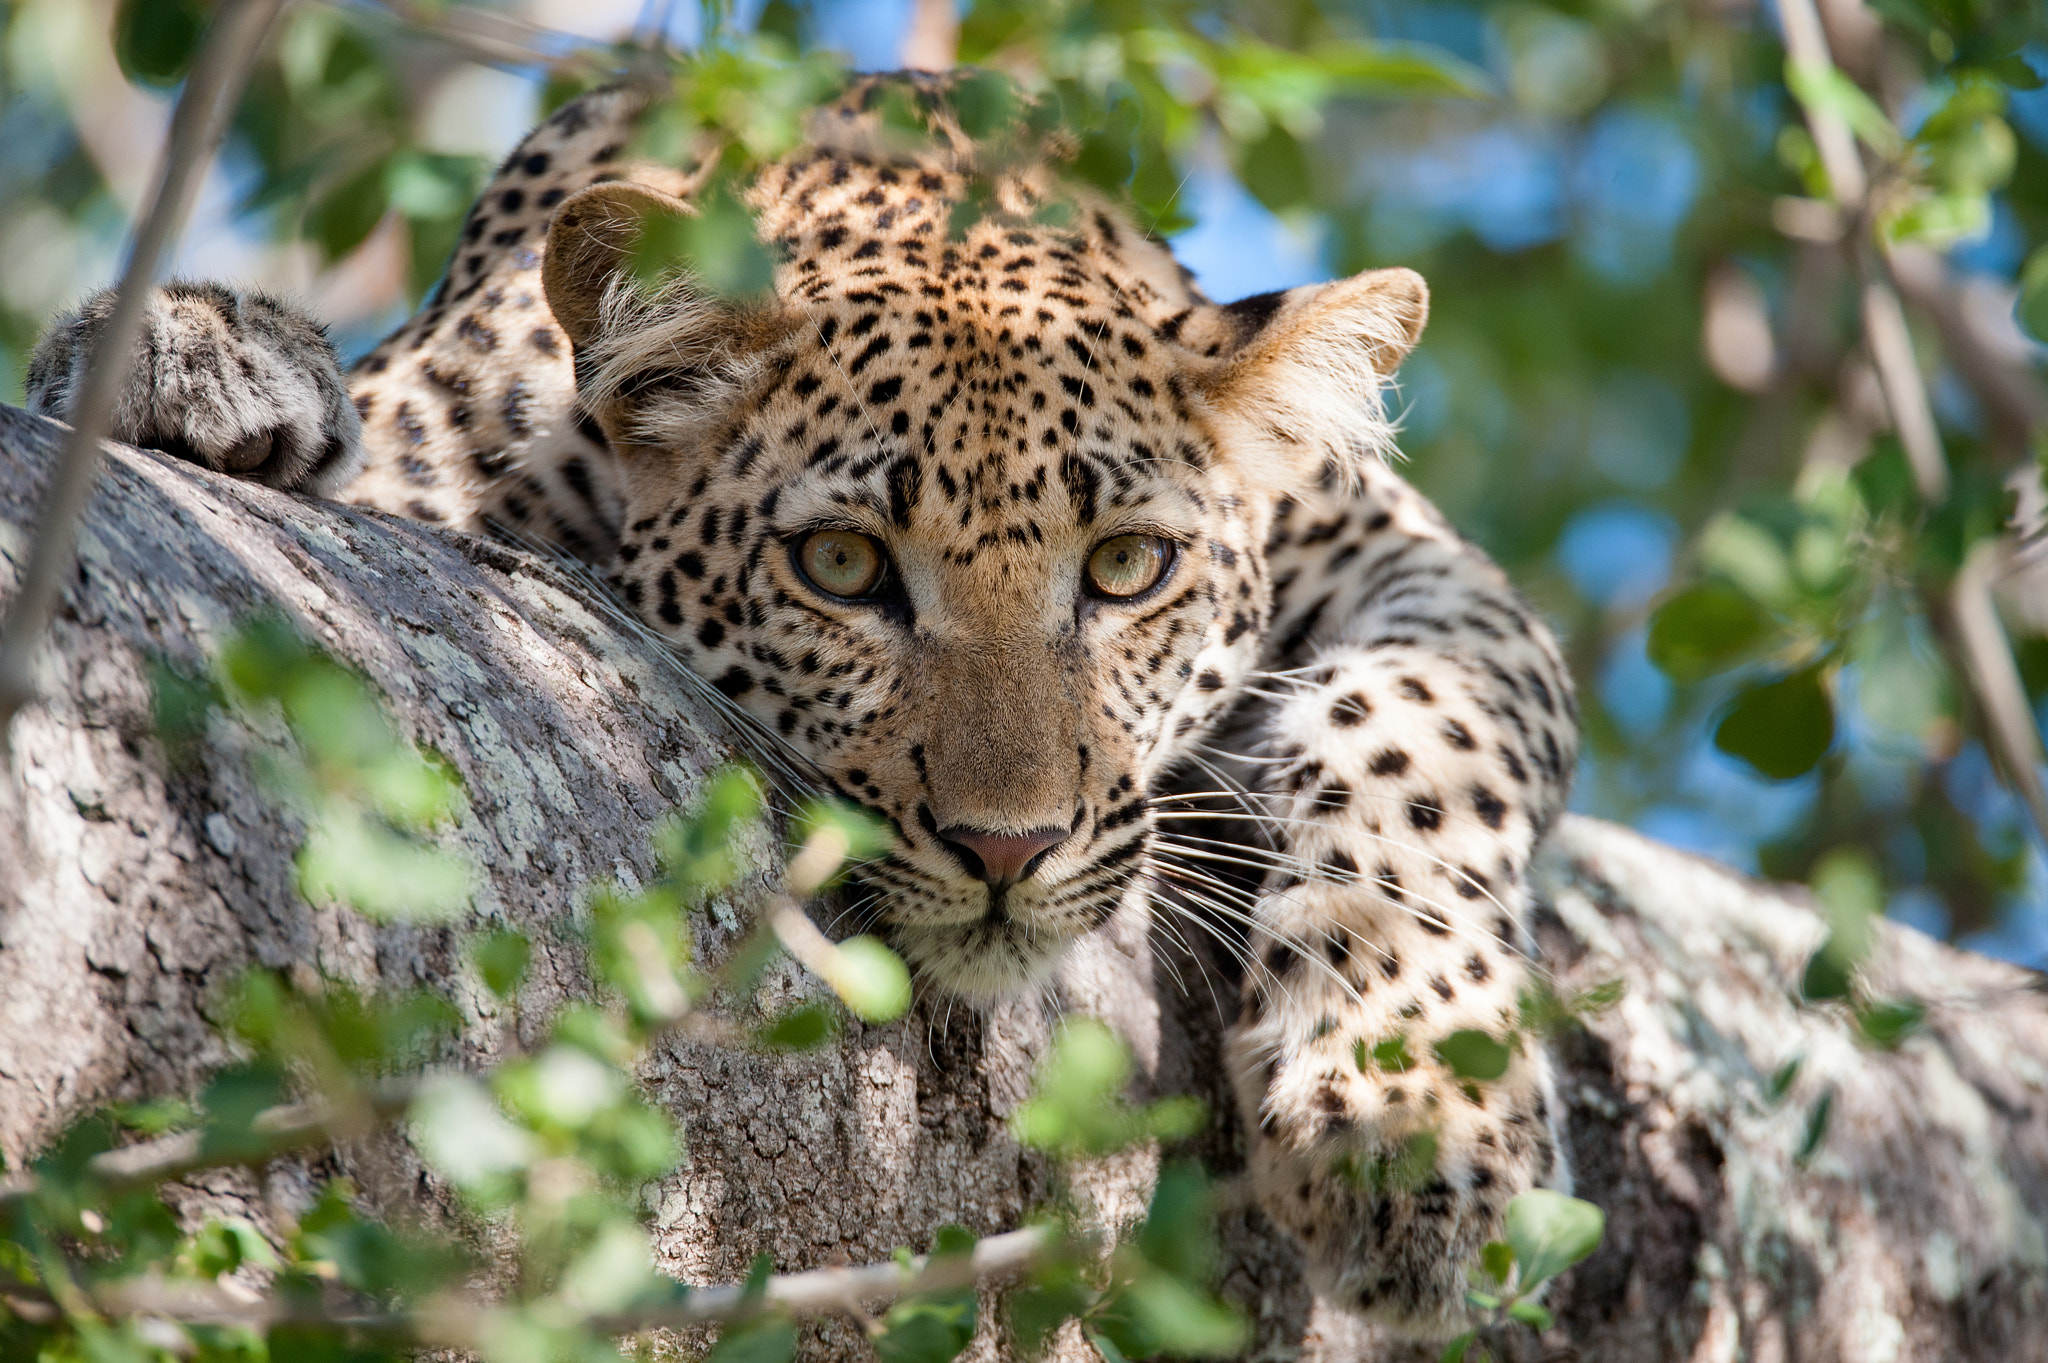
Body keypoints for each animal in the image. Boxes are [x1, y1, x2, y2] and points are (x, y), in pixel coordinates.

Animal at [29, 73, 1580, 1341]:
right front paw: (203, 364)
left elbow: (1423, 739)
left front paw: (1412, 1121)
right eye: (840, 566)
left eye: (1128, 567)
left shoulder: (1417, 567)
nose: (1008, 847)